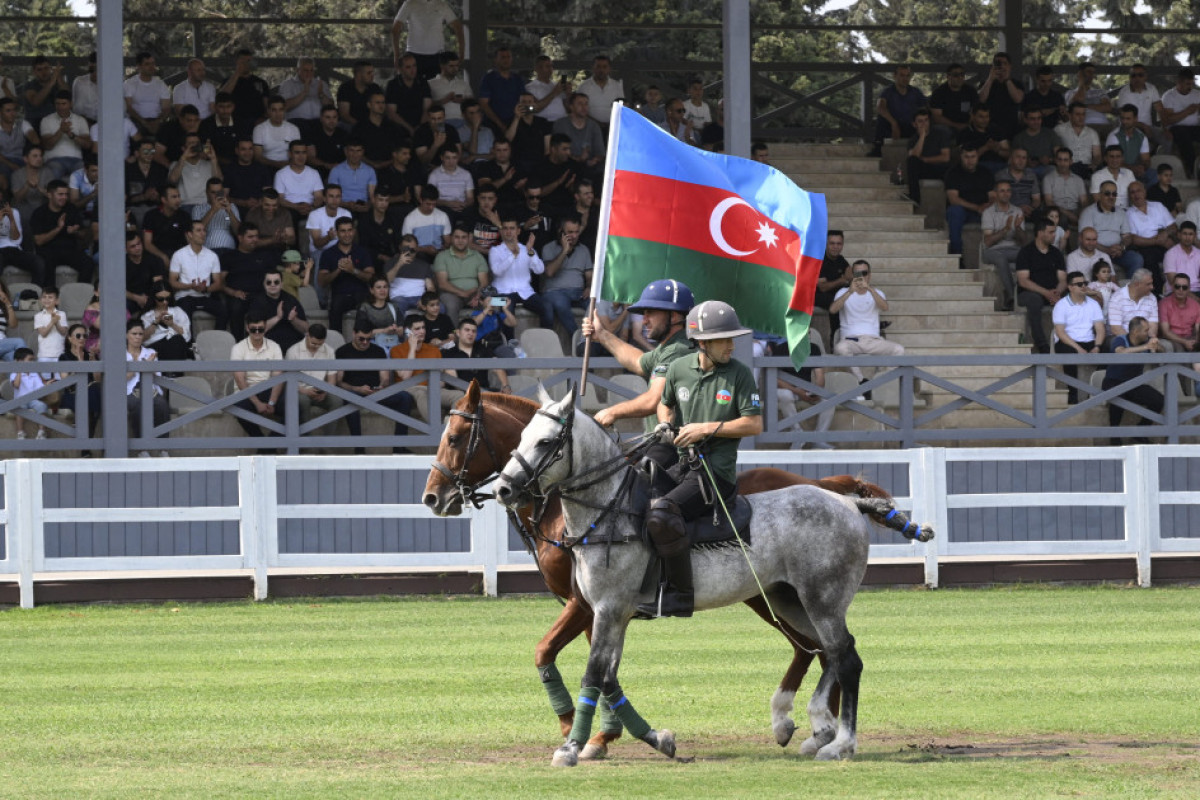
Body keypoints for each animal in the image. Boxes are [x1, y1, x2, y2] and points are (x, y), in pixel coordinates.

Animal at [427, 381, 902, 758]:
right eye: (520, 438)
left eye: (456, 436)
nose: (433, 497)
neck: (602, 509)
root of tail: (843, 499)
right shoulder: (605, 610)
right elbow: (607, 675)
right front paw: (643, 738)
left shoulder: (597, 606)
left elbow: (583, 668)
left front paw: (576, 741)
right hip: (786, 597)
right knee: (825, 650)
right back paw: (815, 728)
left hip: (819, 597)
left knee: (841, 655)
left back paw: (839, 740)